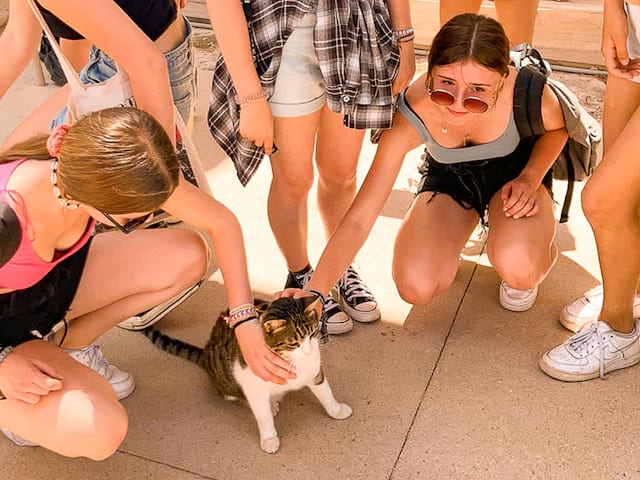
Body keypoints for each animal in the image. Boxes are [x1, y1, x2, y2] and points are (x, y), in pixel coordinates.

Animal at [143, 296, 352, 454]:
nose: (308, 351)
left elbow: (326, 394)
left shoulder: (314, 372)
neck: (294, 362)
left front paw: (337, 410)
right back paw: (271, 404)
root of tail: (206, 353)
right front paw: (269, 438)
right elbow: (263, 417)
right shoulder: (254, 386)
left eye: (312, 333)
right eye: (294, 343)